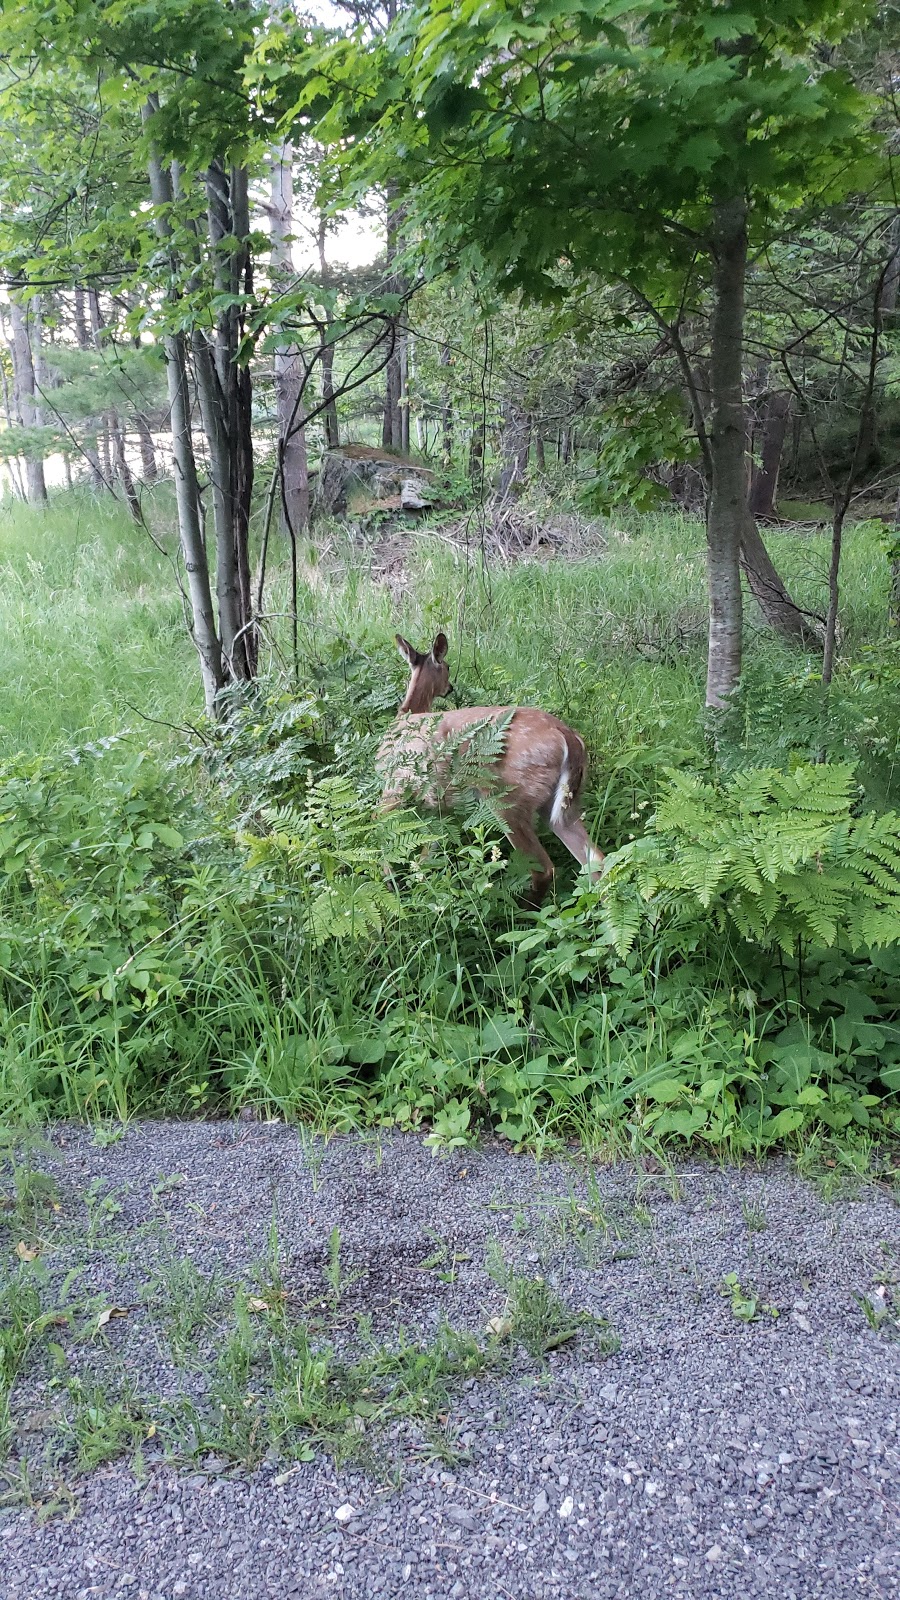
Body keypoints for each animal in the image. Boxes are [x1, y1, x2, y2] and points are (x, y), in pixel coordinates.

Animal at [377, 636, 602, 915]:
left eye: (447, 666)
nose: (450, 688)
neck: (408, 713)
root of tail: (568, 738)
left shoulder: (394, 784)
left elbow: (379, 826)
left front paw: (392, 885)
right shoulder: (441, 809)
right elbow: (430, 849)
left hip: (507, 798)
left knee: (544, 868)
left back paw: (522, 912)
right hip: (564, 804)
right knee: (597, 862)